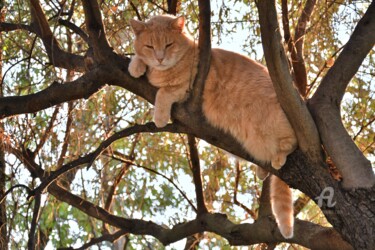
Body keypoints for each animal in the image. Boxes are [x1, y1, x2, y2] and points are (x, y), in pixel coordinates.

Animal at [129, 14, 300, 238]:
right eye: (150, 46)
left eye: (168, 44)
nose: (160, 58)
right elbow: (139, 61)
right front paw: (136, 65)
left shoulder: (184, 89)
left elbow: (164, 92)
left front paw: (159, 116)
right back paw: (263, 170)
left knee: (291, 144)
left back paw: (279, 157)